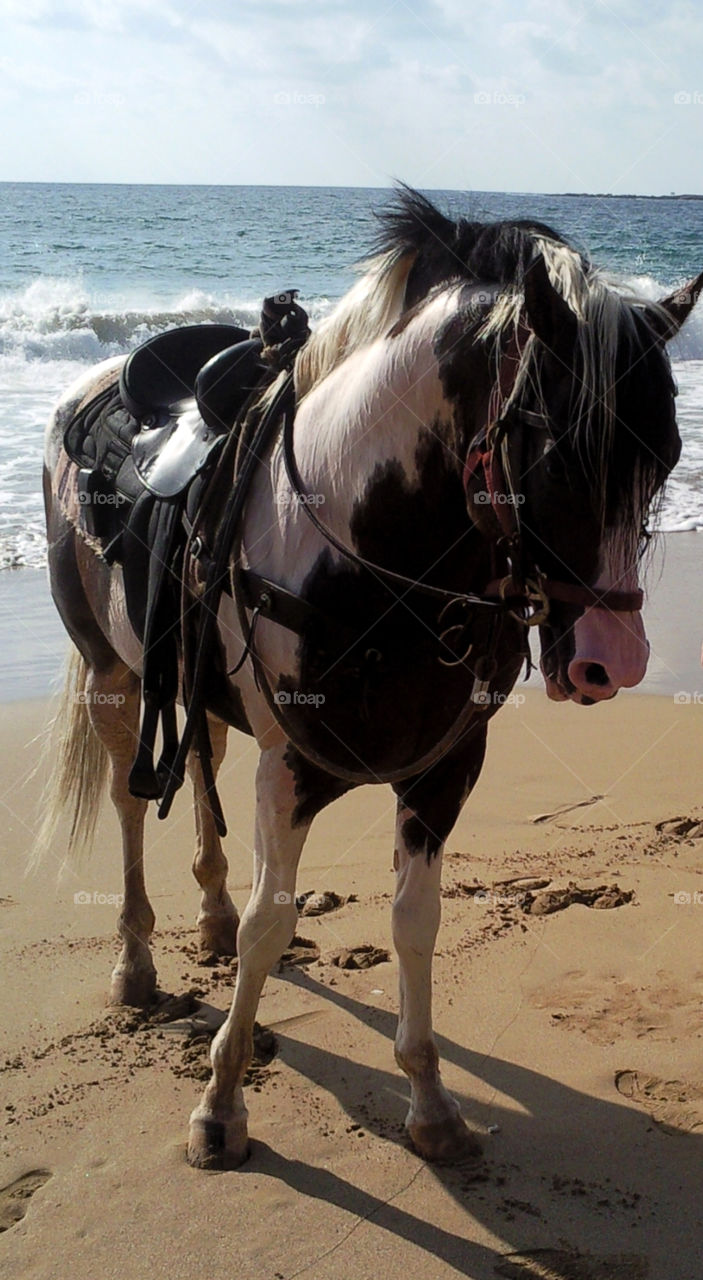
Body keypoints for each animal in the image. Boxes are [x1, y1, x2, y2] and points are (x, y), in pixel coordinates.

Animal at [40, 187, 702, 1170]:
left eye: (662, 457)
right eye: (555, 452)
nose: (610, 663)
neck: (372, 564)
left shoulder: (443, 772)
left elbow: (411, 922)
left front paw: (429, 1102)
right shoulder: (288, 772)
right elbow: (271, 925)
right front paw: (221, 1105)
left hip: (188, 680)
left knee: (197, 759)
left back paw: (206, 913)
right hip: (111, 670)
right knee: (129, 799)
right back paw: (136, 961)